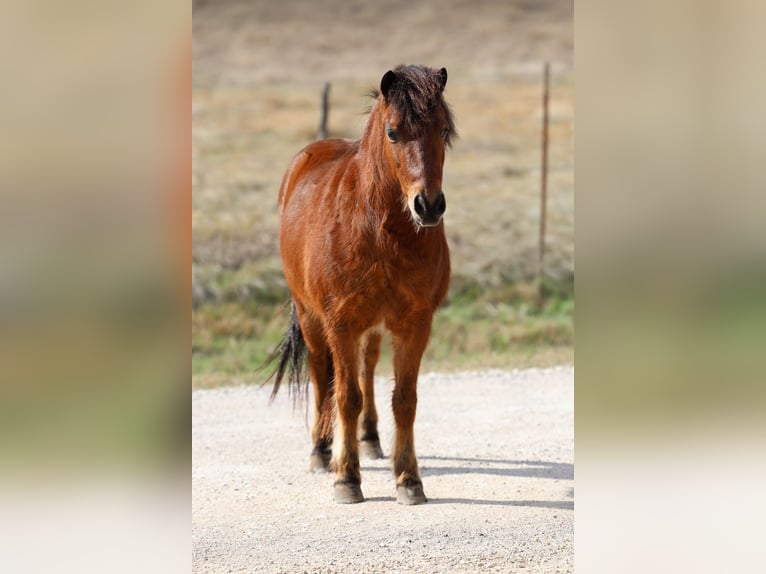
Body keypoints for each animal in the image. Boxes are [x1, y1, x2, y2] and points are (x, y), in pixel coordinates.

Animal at [267, 65, 455, 505]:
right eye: (393, 132)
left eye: (442, 130)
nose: (428, 205)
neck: (381, 231)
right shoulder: (340, 321)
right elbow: (345, 397)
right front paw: (347, 478)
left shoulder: (415, 323)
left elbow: (404, 400)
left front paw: (408, 480)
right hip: (311, 317)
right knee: (322, 375)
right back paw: (321, 451)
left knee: (366, 366)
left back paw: (369, 439)